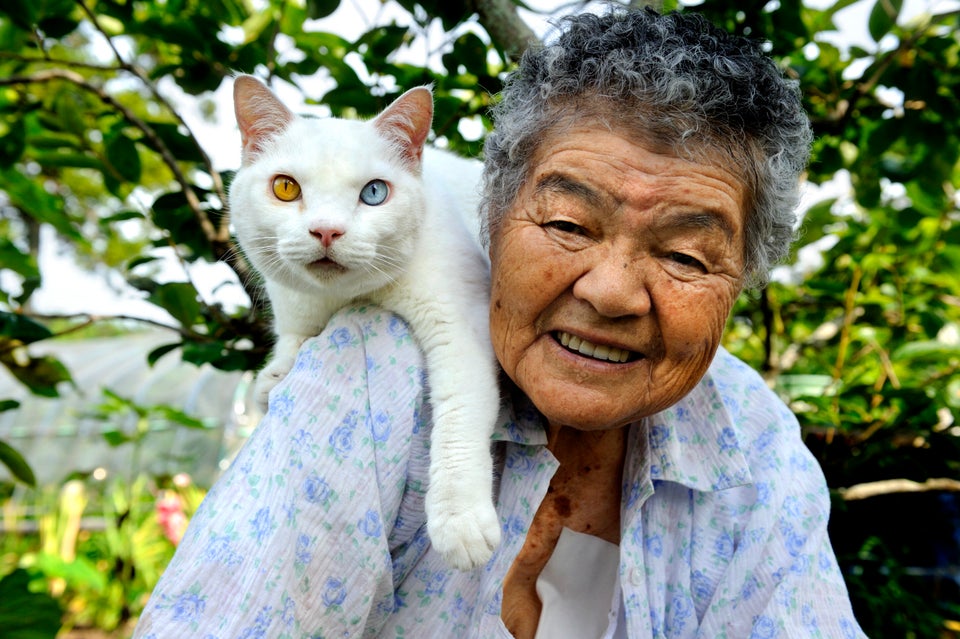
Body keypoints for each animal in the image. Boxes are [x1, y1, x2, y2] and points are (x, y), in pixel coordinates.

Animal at [229, 75, 502, 568]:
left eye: (374, 193)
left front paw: (460, 521)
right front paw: (274, 374)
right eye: (285, 188)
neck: (344, 297)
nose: (326, 230)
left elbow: (459, 414)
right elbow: (293, 335)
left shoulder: (460, 324)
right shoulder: (292, 303)